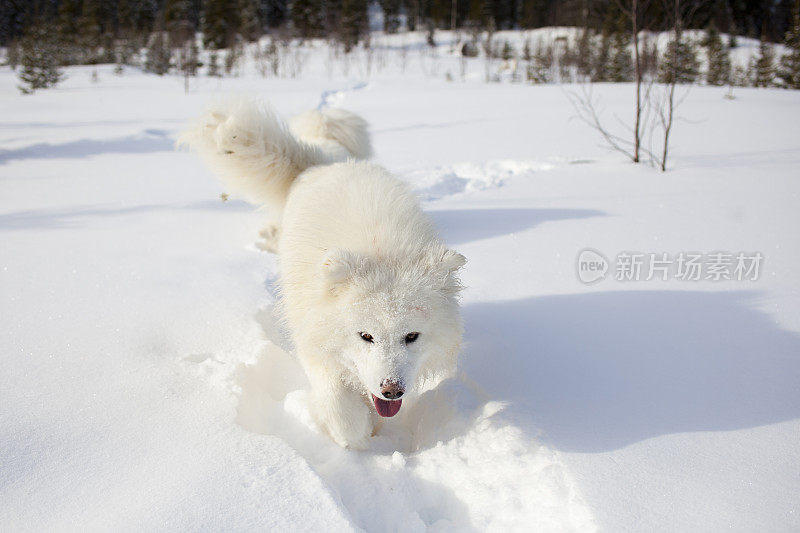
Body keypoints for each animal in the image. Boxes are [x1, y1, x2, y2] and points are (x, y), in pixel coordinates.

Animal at [181, 100, 466, 448]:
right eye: (366, 336)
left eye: (412, 336)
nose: (392, 390)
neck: (380, 248)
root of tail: (324, 162)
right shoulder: (314, 343)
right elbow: (339, 406)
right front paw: (354, 438)